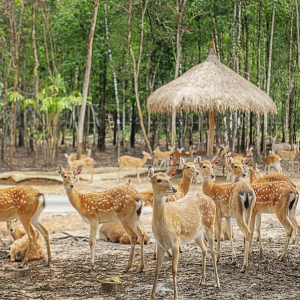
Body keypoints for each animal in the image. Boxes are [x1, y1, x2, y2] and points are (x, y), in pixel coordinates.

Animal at [148, 164, 220, 300]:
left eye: (169, 178)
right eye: (158, 179)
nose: (174, 188)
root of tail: (211, 200)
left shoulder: (175, 241)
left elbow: (174, 270)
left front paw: (176, 296)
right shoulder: (160, 245)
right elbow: (156, 270)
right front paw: (151, 296)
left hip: (210, 224)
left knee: (213, 251)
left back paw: (217, 283)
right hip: (196, 234)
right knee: (204, 247)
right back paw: (202, 280)